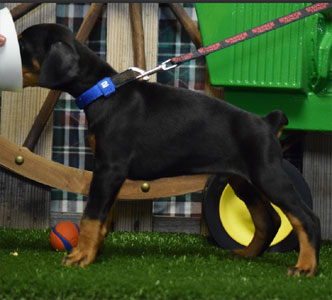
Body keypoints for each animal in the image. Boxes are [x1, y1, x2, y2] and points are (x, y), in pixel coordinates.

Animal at [18, 24, 322, 276]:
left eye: (22, 45)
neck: (103, 92)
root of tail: (267, 122)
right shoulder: (110, 173)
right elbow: (103, 216)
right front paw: (94, 251)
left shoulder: (108, 168)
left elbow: (91, 215)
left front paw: (81, 255)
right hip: (243, 180)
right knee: (269, 219)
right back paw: (247, 254)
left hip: (267, 175)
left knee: (307, 217)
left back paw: (306, 266)